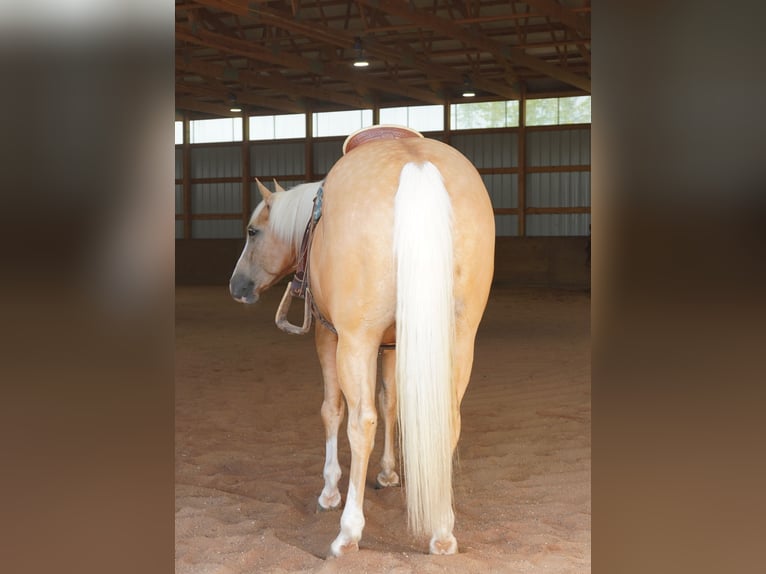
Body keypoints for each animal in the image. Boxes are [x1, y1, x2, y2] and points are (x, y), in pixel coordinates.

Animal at [229, 129, 495, 556]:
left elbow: (333, 410)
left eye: (253, 232)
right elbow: (391, 404)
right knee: (447, 419)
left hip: (355, 343)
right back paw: (442, 531)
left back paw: (349, 531)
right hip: (459, 340)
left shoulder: (331, 336)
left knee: (361, 422)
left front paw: (329, 491)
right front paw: (388, 473)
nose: (237, 286)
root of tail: (415, 162)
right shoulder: (394, 345)